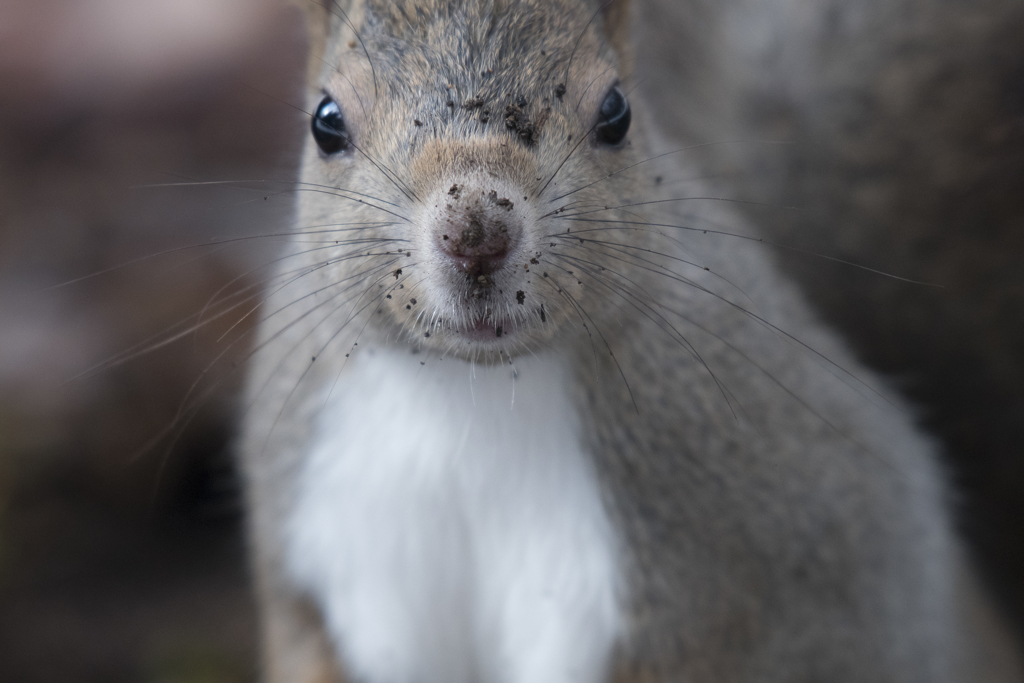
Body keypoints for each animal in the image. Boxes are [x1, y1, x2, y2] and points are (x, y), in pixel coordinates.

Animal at [237, 1, 1024, 683]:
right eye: (326, 123)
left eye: (616, 114)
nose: (475, 232)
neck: (477, 396)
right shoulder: (320, 553)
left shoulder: (812, 556)